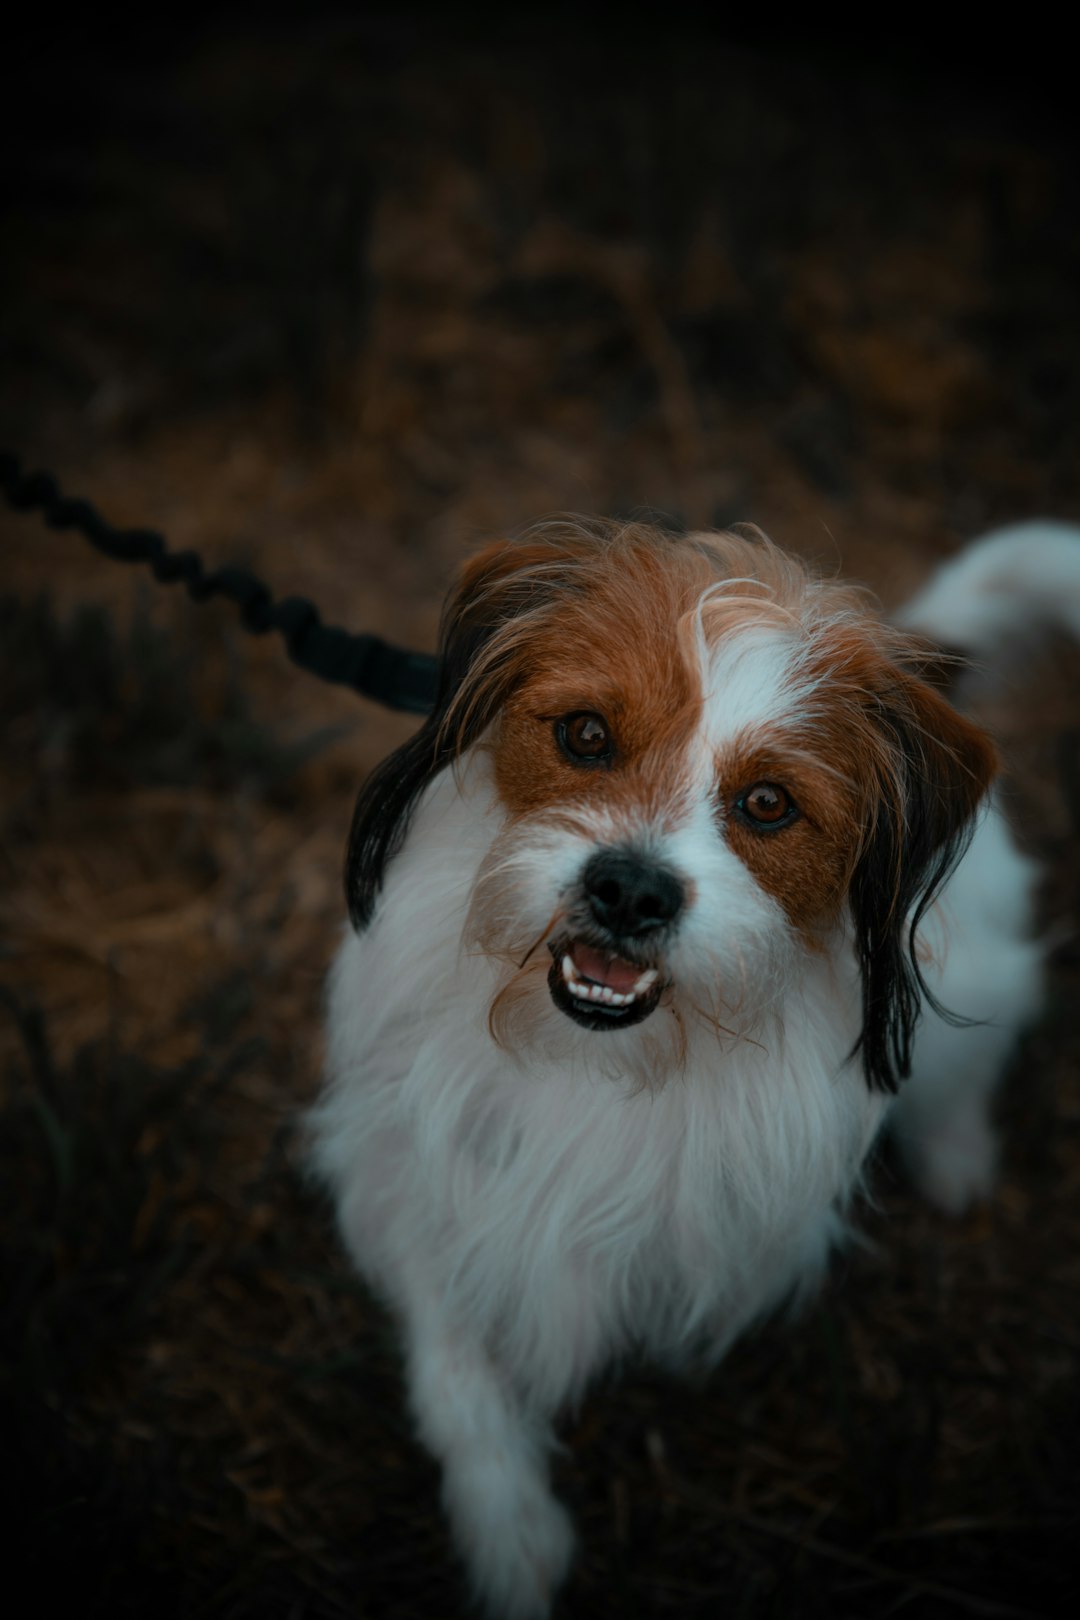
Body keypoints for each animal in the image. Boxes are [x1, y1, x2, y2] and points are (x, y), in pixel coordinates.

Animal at [307, 521, 1075, 1620]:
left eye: (768, 804)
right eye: (586, 736)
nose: (630, 890)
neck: (598, 1053)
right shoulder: (412, 1175)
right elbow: (454, 1367)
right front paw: (510, 1534)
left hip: (964, 983)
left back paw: (958, 1155)